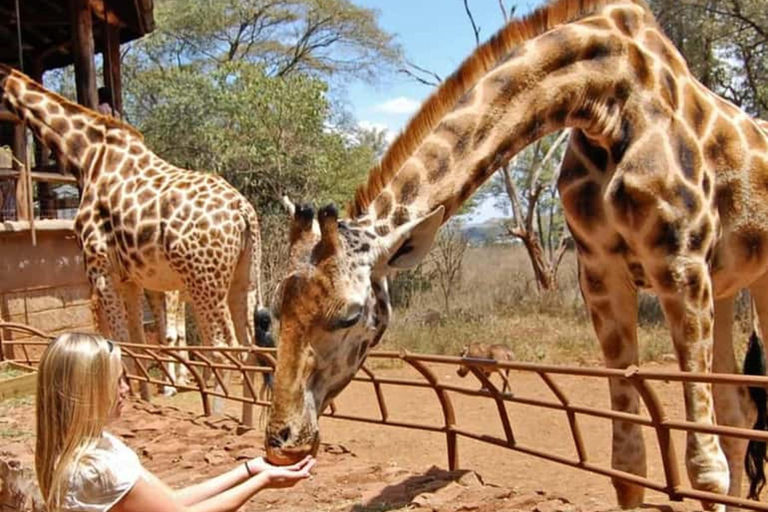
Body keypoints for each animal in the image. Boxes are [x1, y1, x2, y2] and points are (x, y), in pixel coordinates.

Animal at [0, 65, 263, 420]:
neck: (86, 156)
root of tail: (243, 211)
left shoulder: (99, 269)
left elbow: (120, 342)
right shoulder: (131, 278)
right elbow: (138, 340)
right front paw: (144, 398)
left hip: (203, 281)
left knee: (223, 350)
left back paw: (216, 417)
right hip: (242, 278)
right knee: (249, 349)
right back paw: (245, 424)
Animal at [263, 0, 768, 509]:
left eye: (349, 315)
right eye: (275, 310)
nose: (282, 440)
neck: (607, 102)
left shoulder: (680, 265)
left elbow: (704, 468)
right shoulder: (601, 277)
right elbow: (627, 465)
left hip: (752, 282)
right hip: (726, 286)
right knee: (739, 411)